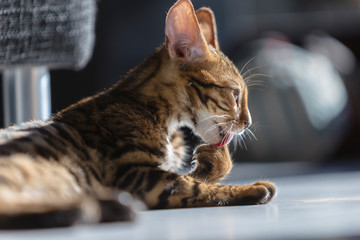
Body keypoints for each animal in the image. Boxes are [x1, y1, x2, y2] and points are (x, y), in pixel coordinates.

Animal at [0, 0, 276, 229]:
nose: (248, 123)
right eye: (235, 94)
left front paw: (214, 159)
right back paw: (84, 209)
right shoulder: (137, 176)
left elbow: (199, 176)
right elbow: (197, 187)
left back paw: (101, 207)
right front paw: (253, 188)